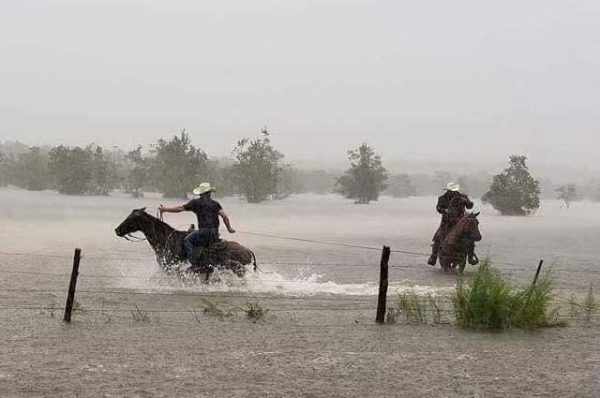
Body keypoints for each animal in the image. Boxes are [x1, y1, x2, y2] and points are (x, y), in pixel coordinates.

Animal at [115, 207, 258, 282]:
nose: (117, 230)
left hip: (238, 270)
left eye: (132, 218)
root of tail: (248, 250)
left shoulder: (172, 268)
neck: (167, 240)